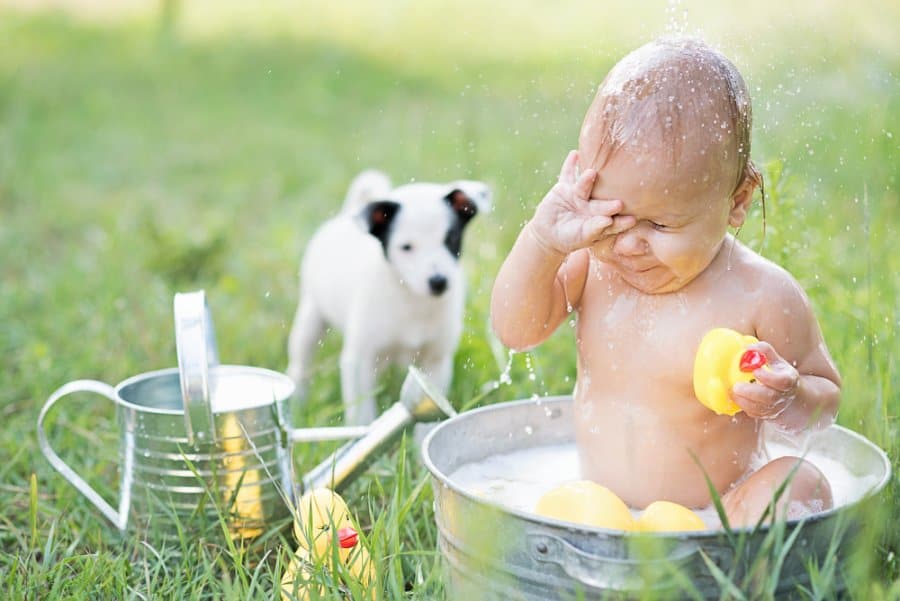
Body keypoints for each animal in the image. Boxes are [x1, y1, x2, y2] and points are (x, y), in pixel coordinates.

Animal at [286, 169, 488, 422]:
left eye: (450, 239)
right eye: (406, 247)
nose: (439, 282)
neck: (411, 299)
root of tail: (346, 213)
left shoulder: (436, 361)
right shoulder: (359, 361)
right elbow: (361, 411)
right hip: (311, 315)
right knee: (300, 362)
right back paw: (297, 401)